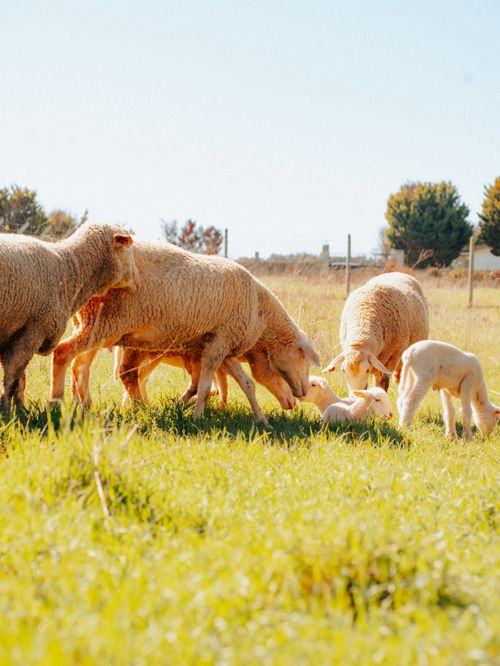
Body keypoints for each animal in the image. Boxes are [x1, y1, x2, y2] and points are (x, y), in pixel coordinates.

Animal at [0, 223, 136, 409]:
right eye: (128, 249)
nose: (137, 282)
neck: (67, 269)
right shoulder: (33, 329)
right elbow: (13, 375)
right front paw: (9, 408)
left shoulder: (10, 334)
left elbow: (20, 379)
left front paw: (19, 408)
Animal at [51, 241, 319, 422]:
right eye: (304, 359)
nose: (299, 397)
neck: (261, 311)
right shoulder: (218, 345)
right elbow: (206, 386)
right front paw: (197, 417)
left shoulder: (224, 345)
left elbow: (246, 385)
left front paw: (262, 421)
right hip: (106, 323)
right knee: (65, 353)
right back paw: (59, 402)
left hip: (93, 322)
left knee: (81, 365)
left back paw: (85, 406)